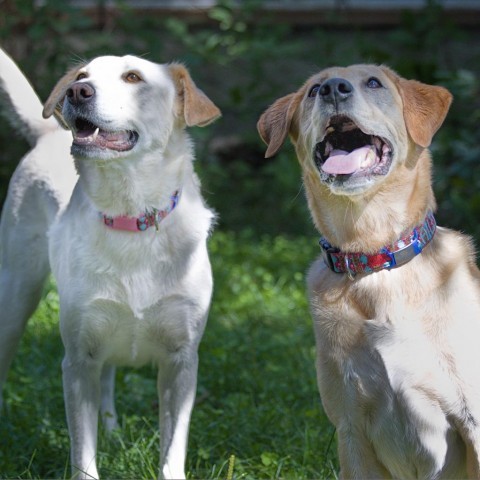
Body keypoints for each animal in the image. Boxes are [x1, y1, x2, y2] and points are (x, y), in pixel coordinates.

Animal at [0, 48, 221, 480]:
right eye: (82, 75)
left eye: (133, 77)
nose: (77, 91)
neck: (129, 214)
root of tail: (48, 134)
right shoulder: (78, 360)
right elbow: (83, 452)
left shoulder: (182, 361)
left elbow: (173, 448)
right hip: (15, 300)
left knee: (109, 377)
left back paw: (114, 431)